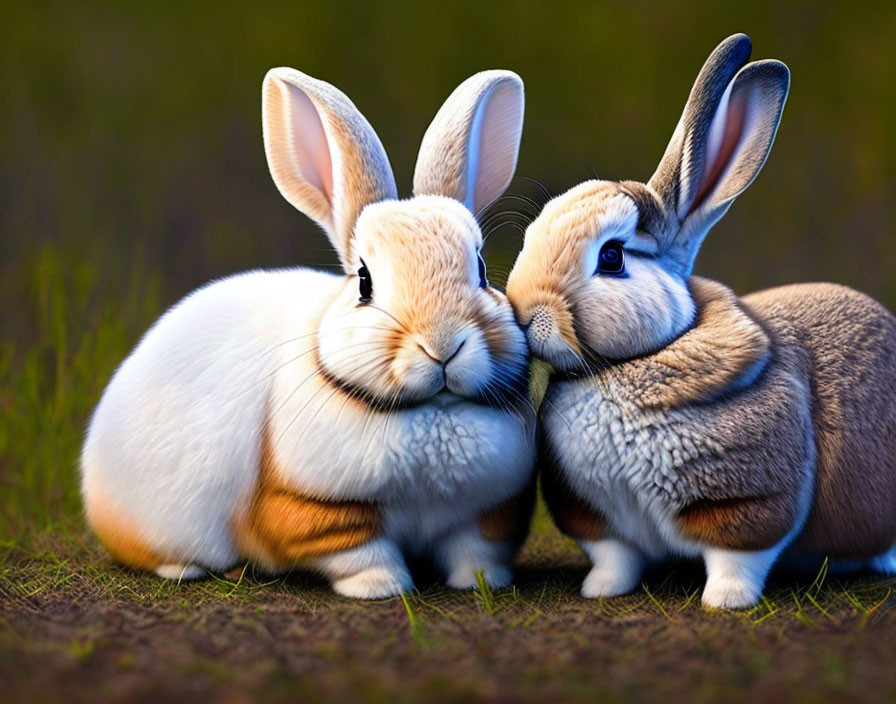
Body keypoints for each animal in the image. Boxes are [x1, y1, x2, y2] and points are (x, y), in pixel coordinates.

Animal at [80, 66, 536, 596]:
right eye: (364, 282)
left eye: (481, 270)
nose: (443, 345)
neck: (430, 409)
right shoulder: (317, 511)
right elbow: (361, 552)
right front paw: (384, 587)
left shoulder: (486, 512)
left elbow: (475, 551)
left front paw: (482, 584)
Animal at [504, 33, 896, 608]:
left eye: (612, 257)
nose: (526, 312)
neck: (626, 366)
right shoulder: (597, 515)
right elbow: (614, 559)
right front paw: (599, 592)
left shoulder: (749, 503)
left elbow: (737, 559)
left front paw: (725, 603)